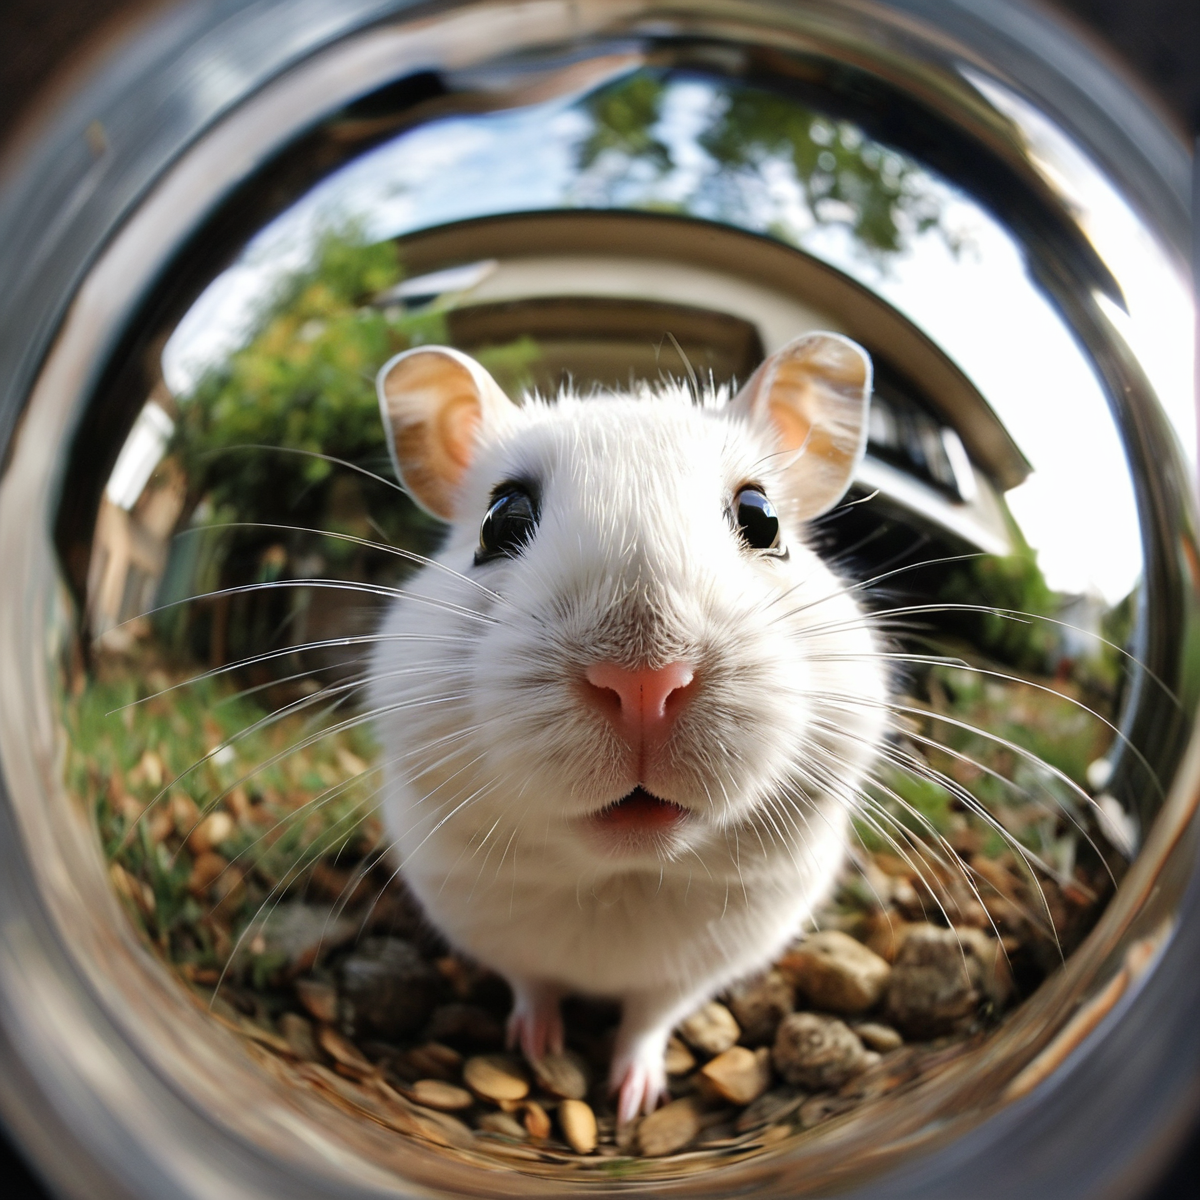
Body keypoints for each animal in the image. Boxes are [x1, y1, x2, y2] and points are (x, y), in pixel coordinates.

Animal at [369, 333, 889, 1125]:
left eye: (762, 518)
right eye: (500, 519)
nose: (644, 681)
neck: (621, 877)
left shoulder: (699, 969)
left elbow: (648, 1022)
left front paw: (632, 1102)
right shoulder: (485, 923)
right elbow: (533, 985)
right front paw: (536, 1049)